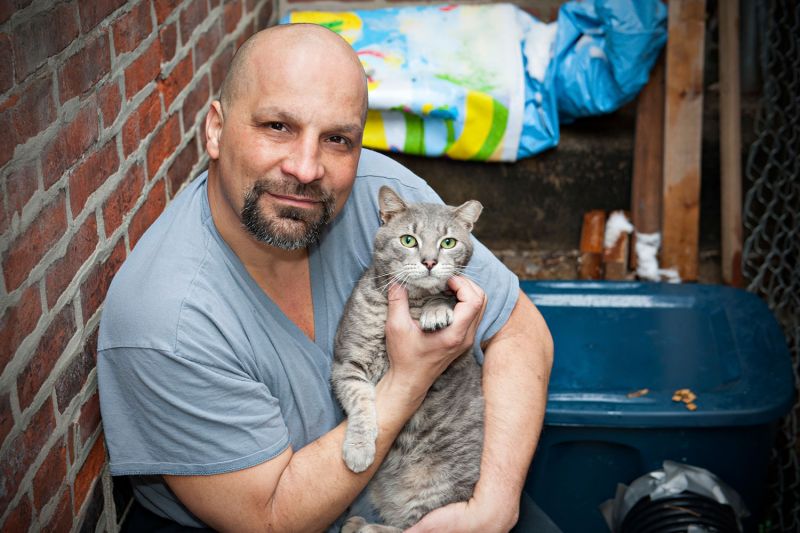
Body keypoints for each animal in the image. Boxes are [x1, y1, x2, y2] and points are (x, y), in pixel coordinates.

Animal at [330, 185, 482, 528]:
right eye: (408, 240)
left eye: (448, 242)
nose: (429, 261)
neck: (411, 302)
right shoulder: (348, 363)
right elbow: (361, 401)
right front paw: (359, 447)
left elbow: (446, 297)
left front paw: (437, 310)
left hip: (434, 492)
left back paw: (361, 526)